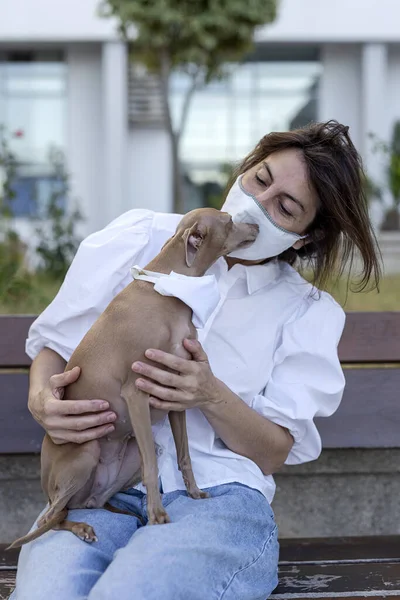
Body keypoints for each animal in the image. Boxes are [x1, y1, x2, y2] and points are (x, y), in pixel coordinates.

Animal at [10, 207, 260, 548]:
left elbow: (184, 455)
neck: (168, 291)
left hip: (125, 457)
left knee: (88, 503)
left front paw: (194, 493)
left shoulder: (176, 394)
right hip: (86, 452)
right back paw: (83, 527)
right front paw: (158, 515)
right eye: (230, 221)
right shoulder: (135, 392)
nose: (257, 226)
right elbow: (152, 468)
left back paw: (118, 512)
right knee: (52, 516)